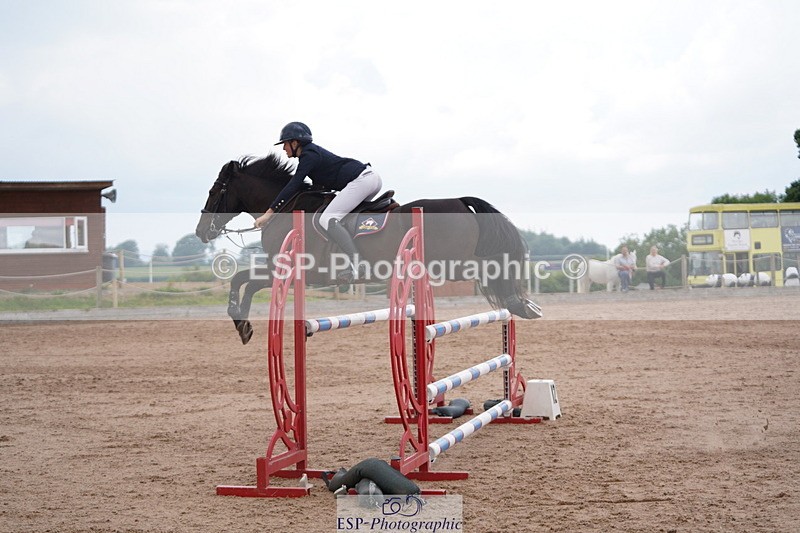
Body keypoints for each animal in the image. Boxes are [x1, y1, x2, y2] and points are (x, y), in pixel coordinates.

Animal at [195, 154, 542, 344]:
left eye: (215, 191)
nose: (201, 232)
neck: (285, 209)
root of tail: (459, 200)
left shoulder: (293, 270)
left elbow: (241, 279)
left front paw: (240, 322)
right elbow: (246, 282)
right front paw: (244, 328)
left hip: (453, 262)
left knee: (490, 268)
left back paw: (519, 303)